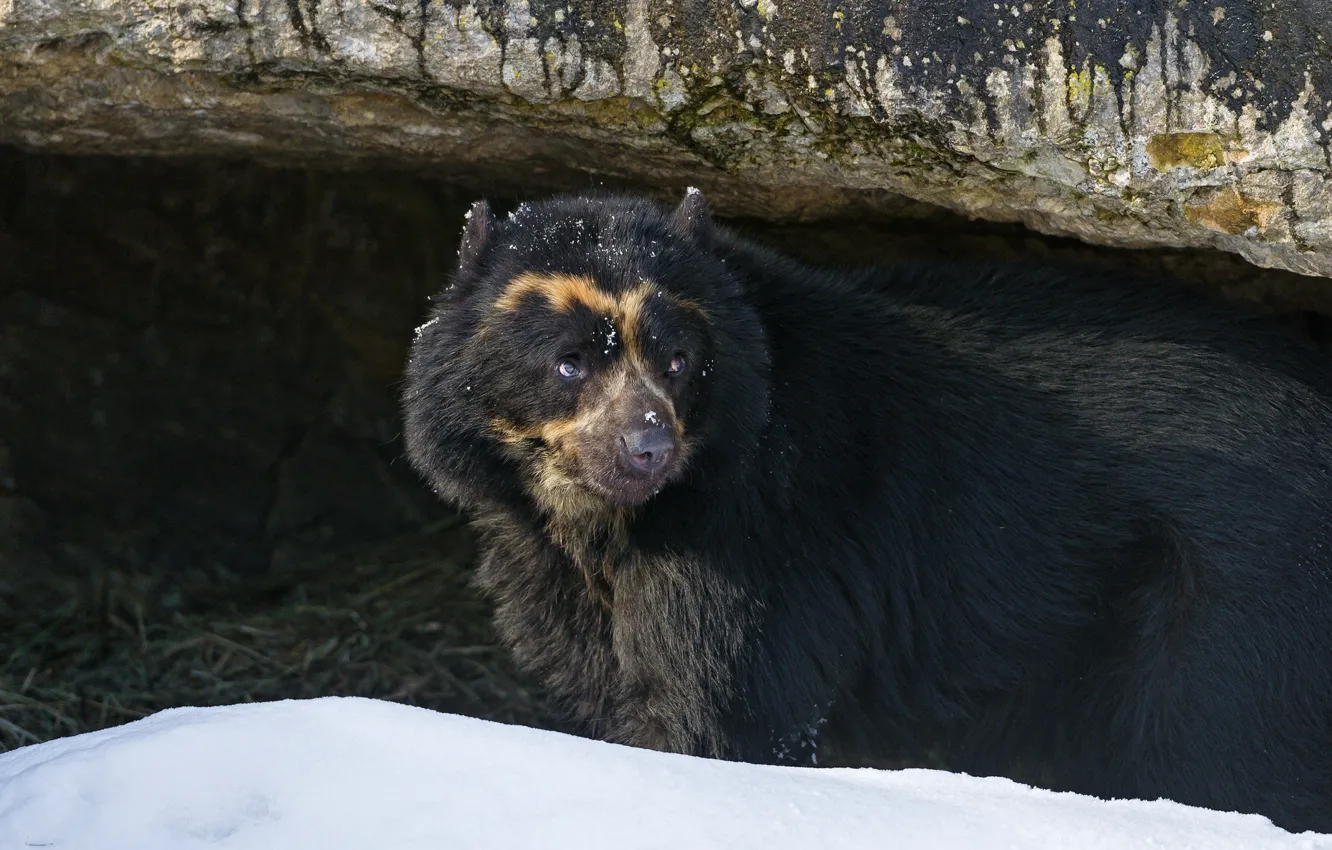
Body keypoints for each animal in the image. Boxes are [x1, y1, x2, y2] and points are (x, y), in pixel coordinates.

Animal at [402, 188, 1332, 834]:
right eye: (568, 363)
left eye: (678, 359)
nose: (646, 449)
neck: (598, 521)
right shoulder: (550, 571)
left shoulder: (758, 538)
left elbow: (720, 700)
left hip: (1236, 603)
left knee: (1217, 745)